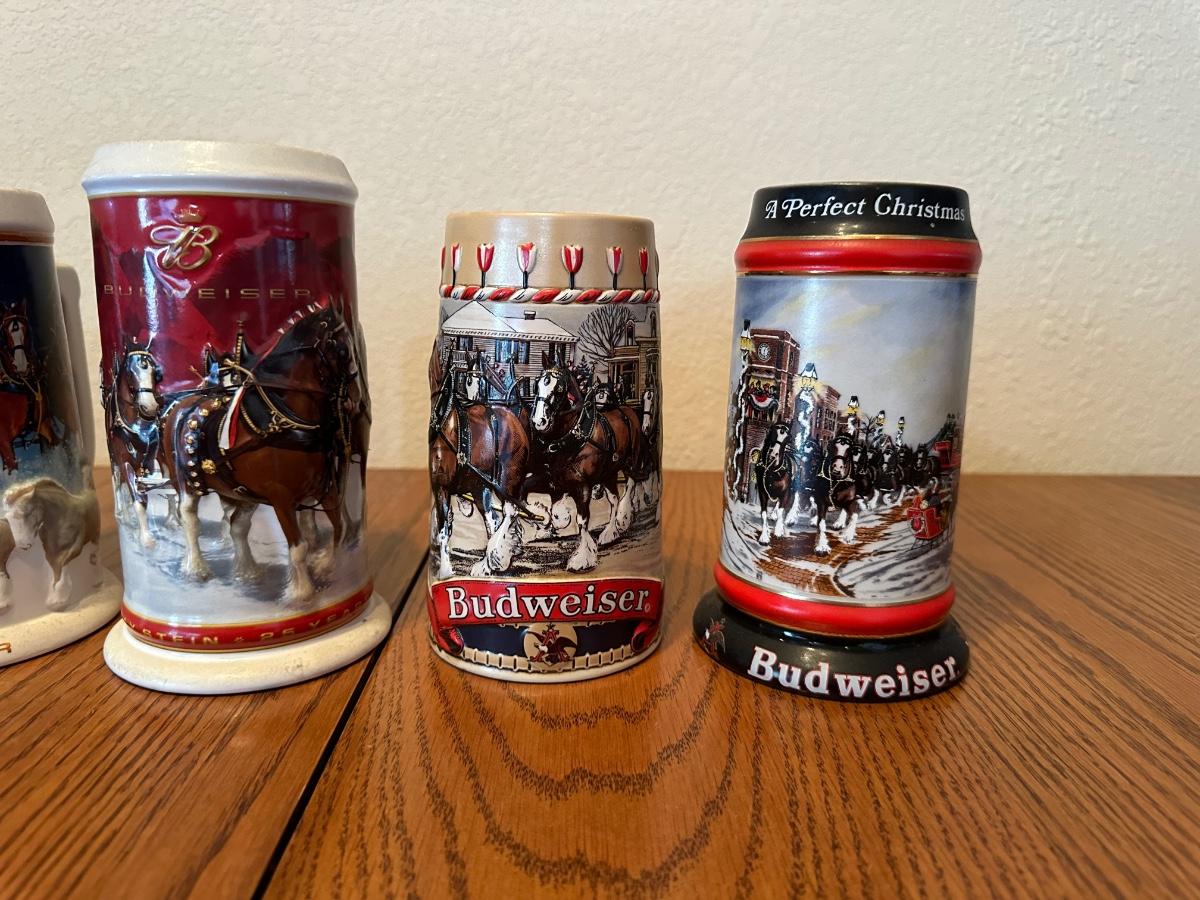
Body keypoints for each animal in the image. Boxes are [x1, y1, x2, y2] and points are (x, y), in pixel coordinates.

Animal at [1, 478, 100, 611]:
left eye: (28, 512)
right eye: (8, 518)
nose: (23, 544)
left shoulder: (71, 550)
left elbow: (60, 573)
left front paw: (58, 600)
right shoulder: (51, 553)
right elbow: (55, 572)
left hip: (95, 537)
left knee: (94, 554)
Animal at [161, 302, 362, 604]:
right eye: (341, 349)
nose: (355, 400)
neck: (284, 421)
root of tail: (181, 405)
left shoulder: (324, 487)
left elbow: (340, 528)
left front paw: (324, 565)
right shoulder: (281, 498)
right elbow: (299, 547)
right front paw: (301, 591)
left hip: (240, 491)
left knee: (237, 526)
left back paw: (247, 571)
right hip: (186, 483)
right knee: (190, 520)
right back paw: (196, 567)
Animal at [428, 346, 530, 578]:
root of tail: (512, 417)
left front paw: (445, 570)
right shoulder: (440, 487)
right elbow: (443, 529)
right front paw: (445, 568)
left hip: (507, 477)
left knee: (509, 510)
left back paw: (494, 557)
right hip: (480, 485)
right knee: (492, 520)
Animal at [525, 355, 651, 572]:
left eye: (559, 389)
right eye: (537, 384)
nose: (539, 421)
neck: (572, 435)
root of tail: (628, 410)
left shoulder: (582, 485)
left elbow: (582, 519)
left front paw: (582, 557)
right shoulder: (552, 480)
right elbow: (542, 503)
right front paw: (550, 523)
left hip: (631, 461)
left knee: (629, 487)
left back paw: (621, 521)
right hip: (609, 472)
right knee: (614, 498)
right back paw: (610, 532)